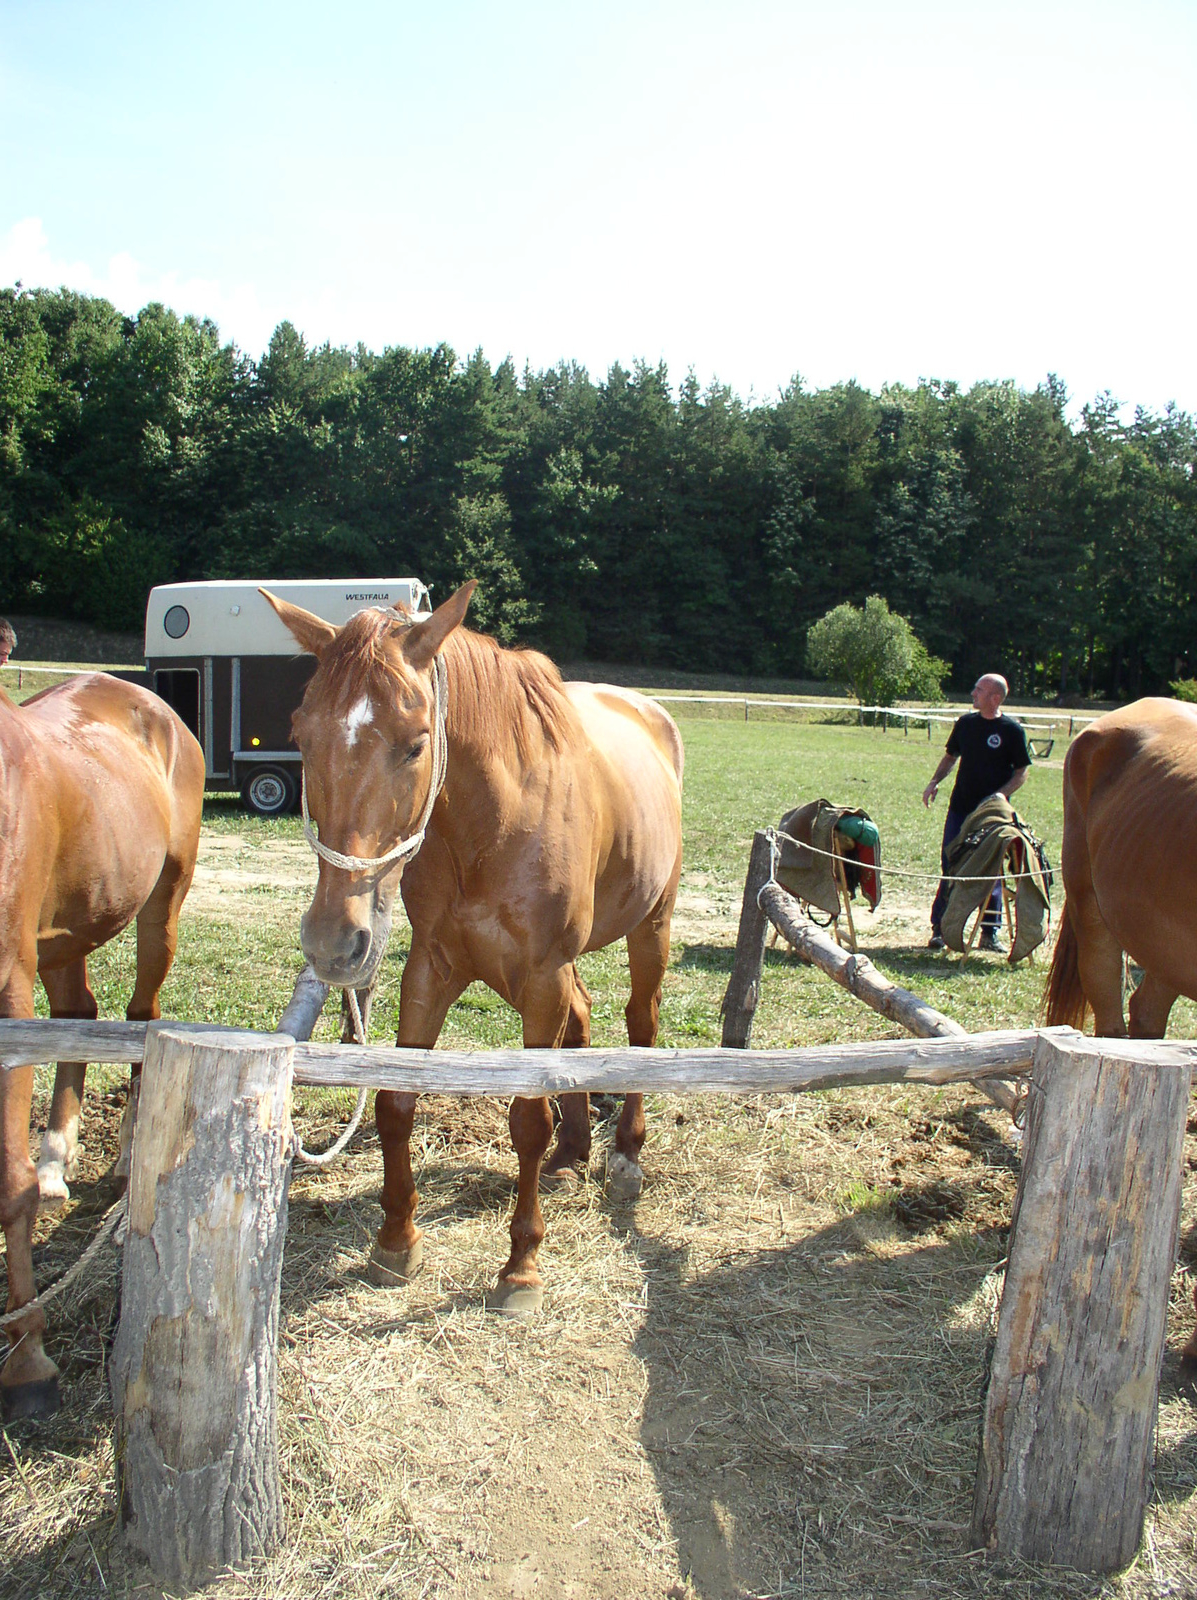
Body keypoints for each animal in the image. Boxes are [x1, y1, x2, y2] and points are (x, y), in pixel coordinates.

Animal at [0, 668, 203, 1420]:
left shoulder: (9, 981)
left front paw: (27, 1361)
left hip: (159, 905)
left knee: (140, 1016)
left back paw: (122, 1152)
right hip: (68, 932)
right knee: (77, 1014)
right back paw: (57, 1158)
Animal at [267, 582, 688, 1318]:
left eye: (415, 745)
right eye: (300, 735)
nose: (333, 942)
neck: (493, 824)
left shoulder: (541, 977)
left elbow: (526, 1120)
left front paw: (521, 1268)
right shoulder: (431, 968)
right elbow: (395, 1103)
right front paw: (395, 1242)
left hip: (650, 926)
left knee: (641, 1024)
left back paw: (625, 1157)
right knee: (583, 1023)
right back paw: (573, 1152)